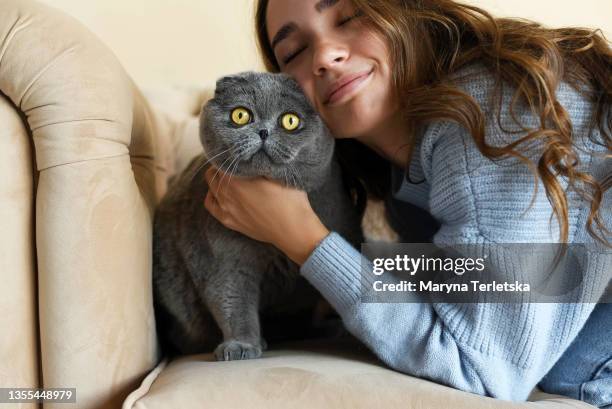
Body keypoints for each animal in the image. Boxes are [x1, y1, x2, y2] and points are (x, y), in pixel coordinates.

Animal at [152, 72, 364, 360]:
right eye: (241, 115)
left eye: (290, 120)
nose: (263, 131)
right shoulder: (223, 261)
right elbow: (232, 301)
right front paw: (241, 345)